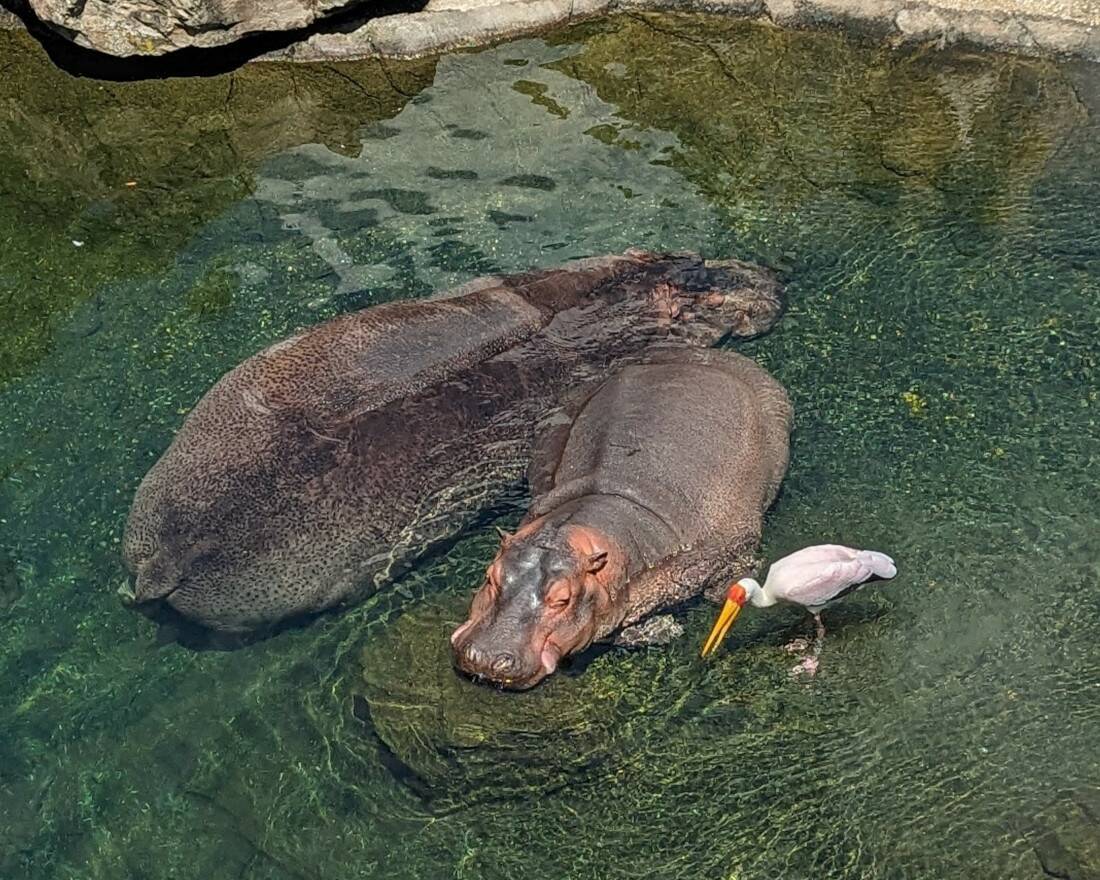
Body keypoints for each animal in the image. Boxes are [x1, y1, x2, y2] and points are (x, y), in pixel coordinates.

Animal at [446, 347, 792, 690]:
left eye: (563, 600)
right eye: (490, 577)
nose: (486, 658)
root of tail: (688, 354)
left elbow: (723, 584)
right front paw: (661, 628)